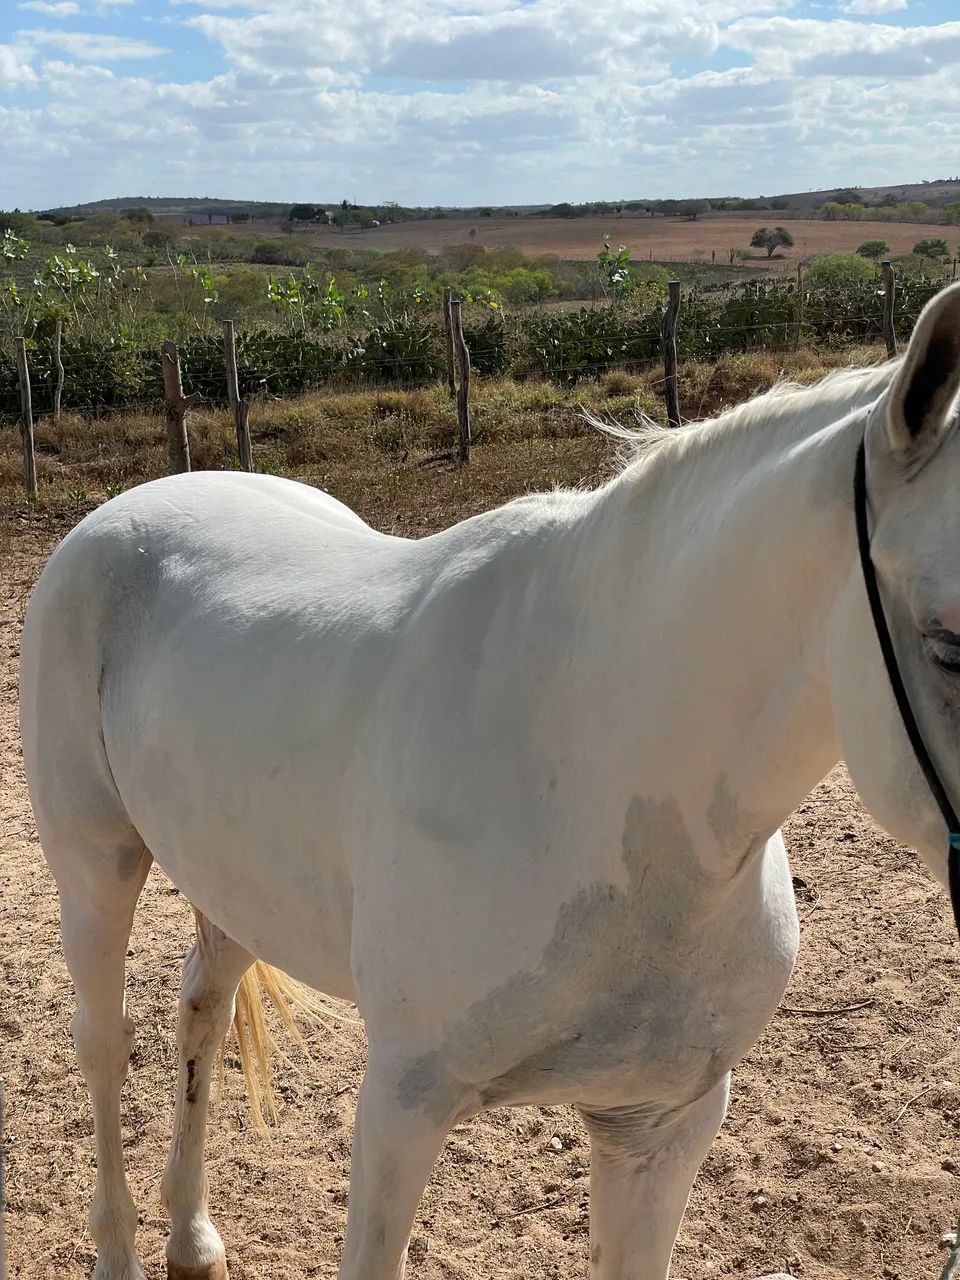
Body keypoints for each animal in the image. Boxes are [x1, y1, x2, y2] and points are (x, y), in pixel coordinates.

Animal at [17, 282, 960, 1280]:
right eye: (948, 645)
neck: (592, 776)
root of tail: (131, 509)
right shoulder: (402, 1106)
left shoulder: (660, 1125)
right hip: (96, 869)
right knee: (105, 1044)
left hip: (231, 882)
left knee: (200, 1010)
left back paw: (193, 1238)